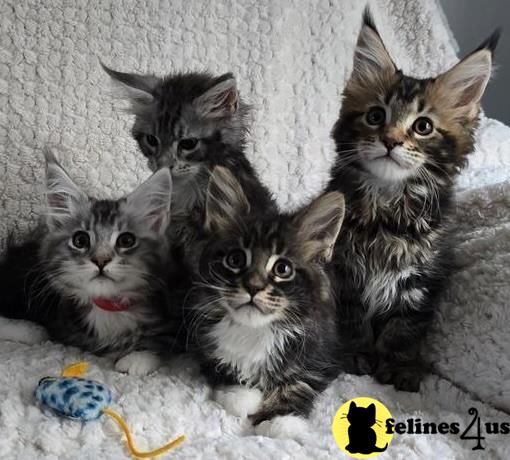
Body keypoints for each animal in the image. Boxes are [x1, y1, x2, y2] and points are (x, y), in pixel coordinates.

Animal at [0, 149, 175, 362]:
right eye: (80, 240)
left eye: (126, 241)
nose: (101, 260)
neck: (108, 306)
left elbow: (160, 342)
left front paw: (137, 358)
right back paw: (31, 330)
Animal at [185, 166, 344, 438]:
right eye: (235, 259)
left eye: (282, 269)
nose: (253, 287)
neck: (255, 330)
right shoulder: (203, 343)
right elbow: (221, 367)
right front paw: (240, 394)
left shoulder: (324, 354)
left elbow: (301, 383)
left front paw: (281, 419)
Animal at [326, 9, 498, 392]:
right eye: (376, 116)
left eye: (423, 126)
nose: (390, 141)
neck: (387, 209)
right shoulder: (343, 273)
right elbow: (353, 320)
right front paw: (356, 357)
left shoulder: (422, 278)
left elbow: (403, 328)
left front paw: (397, 367)